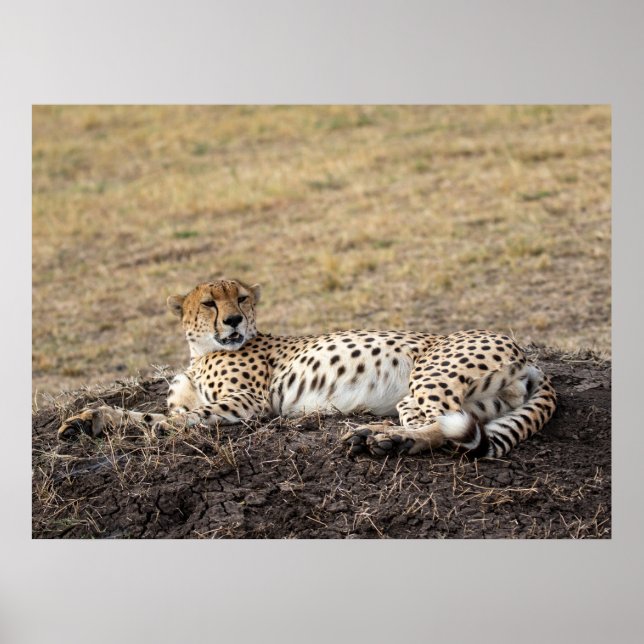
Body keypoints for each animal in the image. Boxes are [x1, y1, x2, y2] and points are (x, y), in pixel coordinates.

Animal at [57, 278, 557, 458]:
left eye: (242, 298)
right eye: (210, 302)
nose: (234, 321)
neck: (200, 352)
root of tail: (527, 354)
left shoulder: (246, 405)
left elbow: (173, 419)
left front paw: (125, 424)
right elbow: (150, 413)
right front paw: (87, 420)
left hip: (427, 380)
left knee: (438, 424)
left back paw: (385, 438)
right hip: (481, 399)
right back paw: (387, 440)